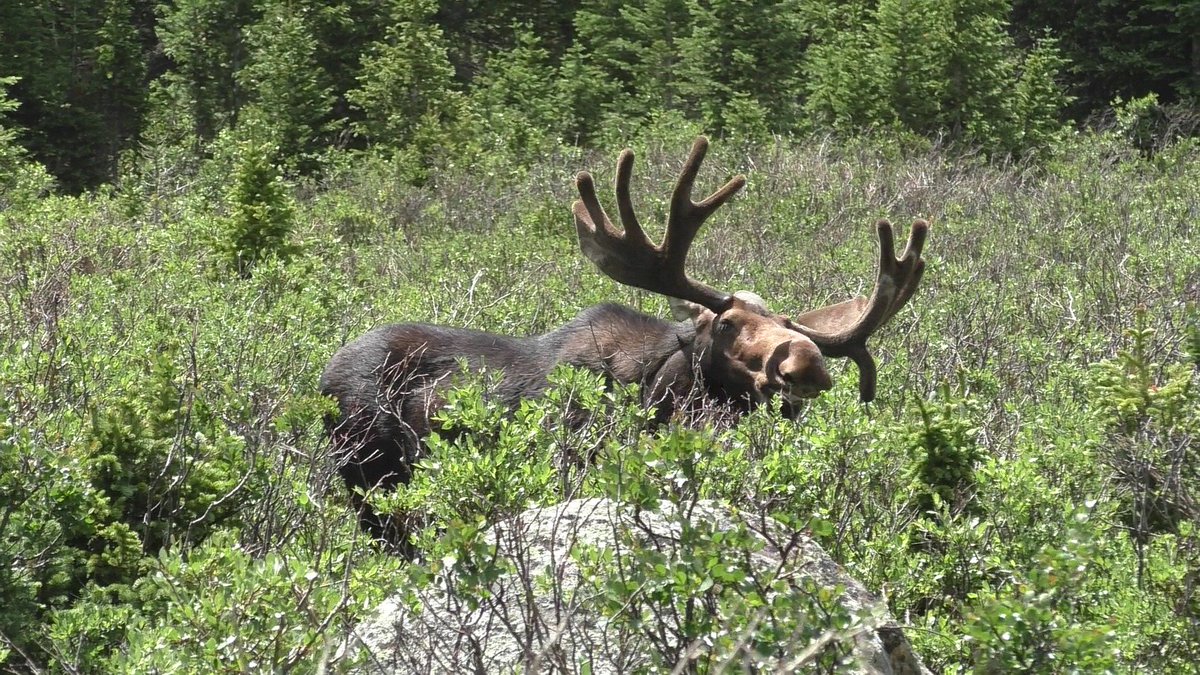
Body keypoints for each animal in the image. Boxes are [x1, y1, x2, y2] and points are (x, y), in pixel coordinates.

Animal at [320, 137, 928, 542]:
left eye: (787, 326)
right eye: (726, 324)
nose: (806, 365)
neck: (661, 390)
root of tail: (322, 376)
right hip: (370, 476)